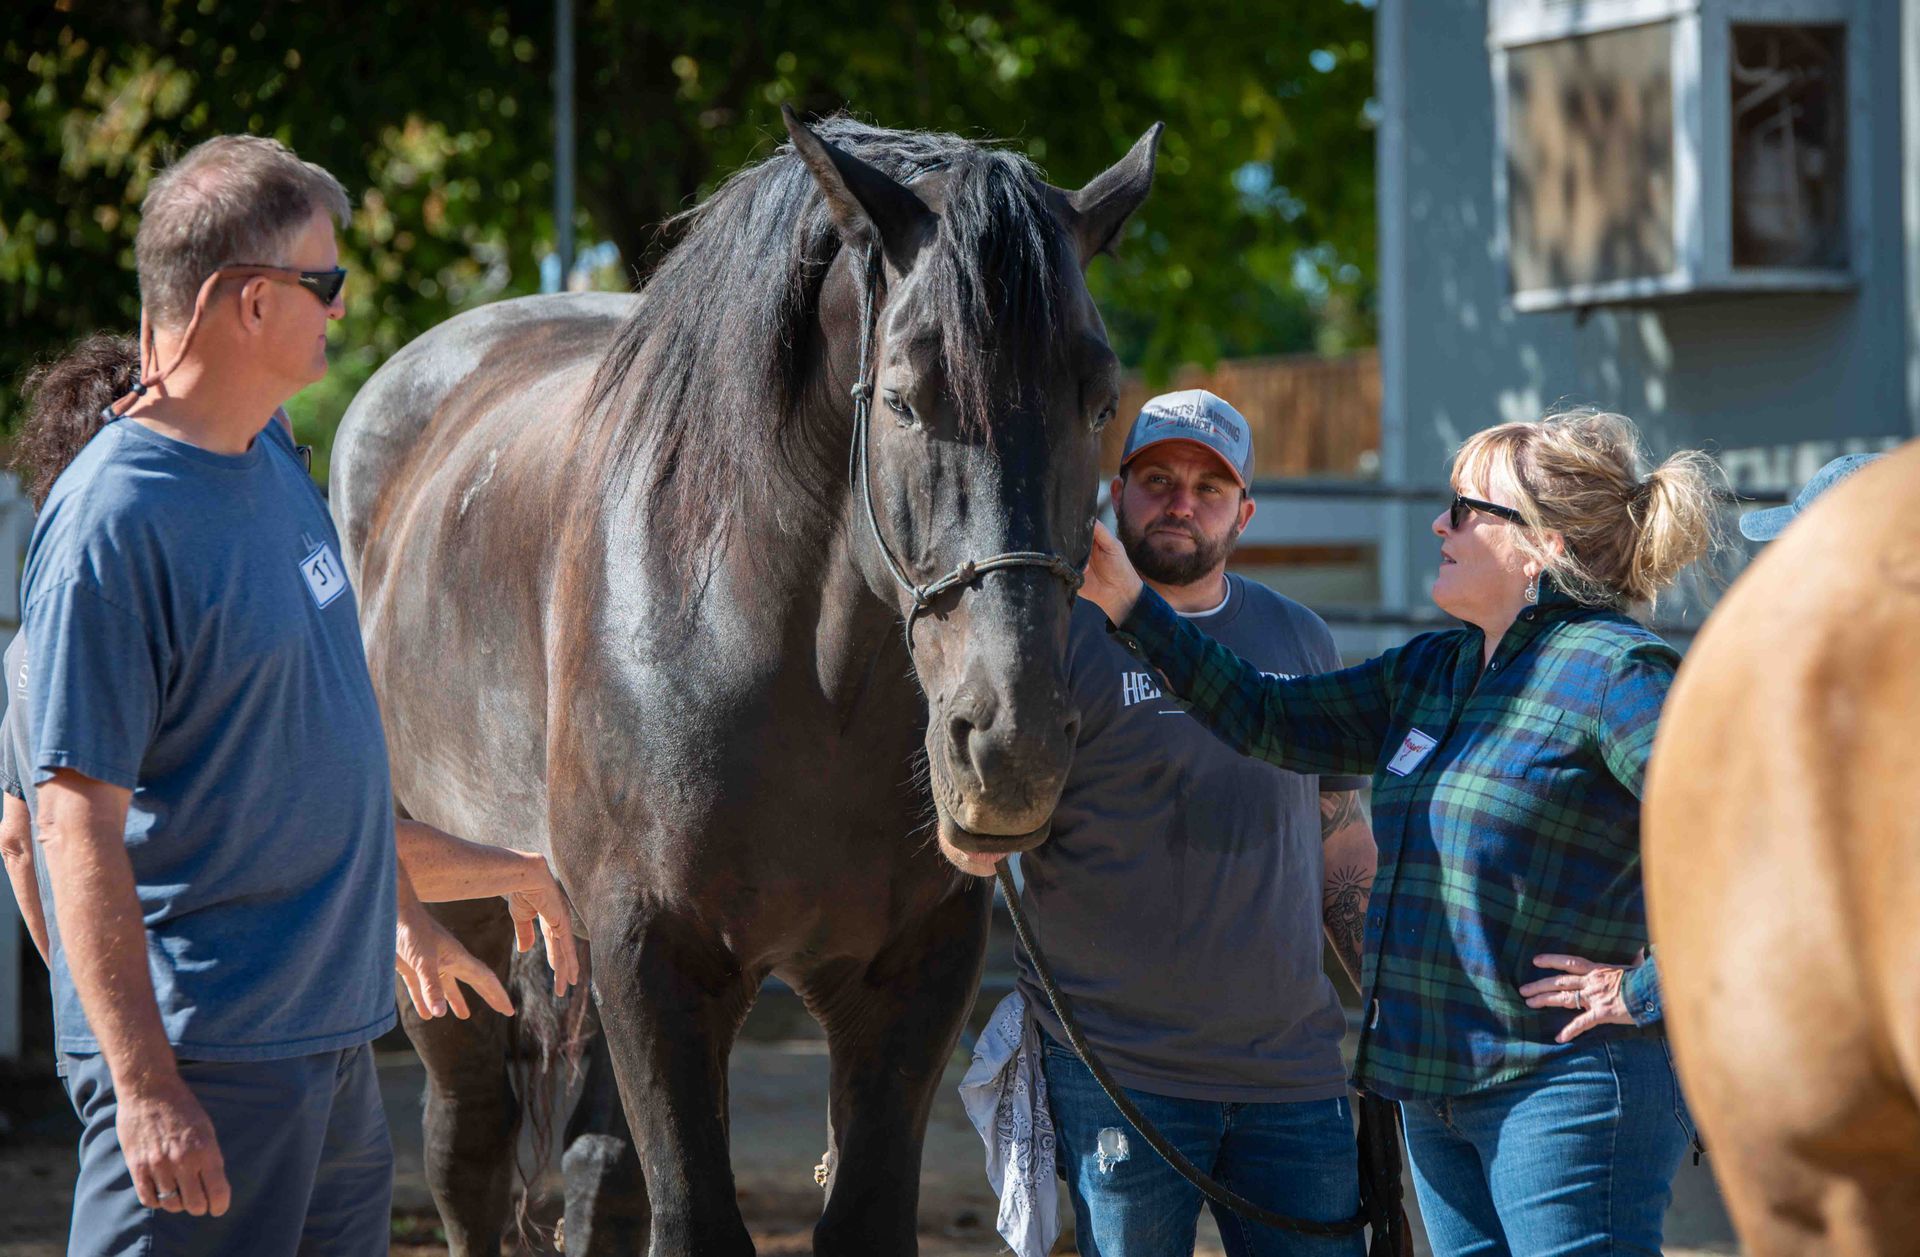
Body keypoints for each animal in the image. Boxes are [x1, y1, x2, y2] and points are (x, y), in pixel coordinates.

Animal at [329, 109, 1160, 1255]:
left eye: (1100, 400)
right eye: (903, 399)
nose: (1011, 745)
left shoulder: (913, 973)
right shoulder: (655, 959)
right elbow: (691, 1216)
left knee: (594, 1171)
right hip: (461, 937)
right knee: (471, 1149)